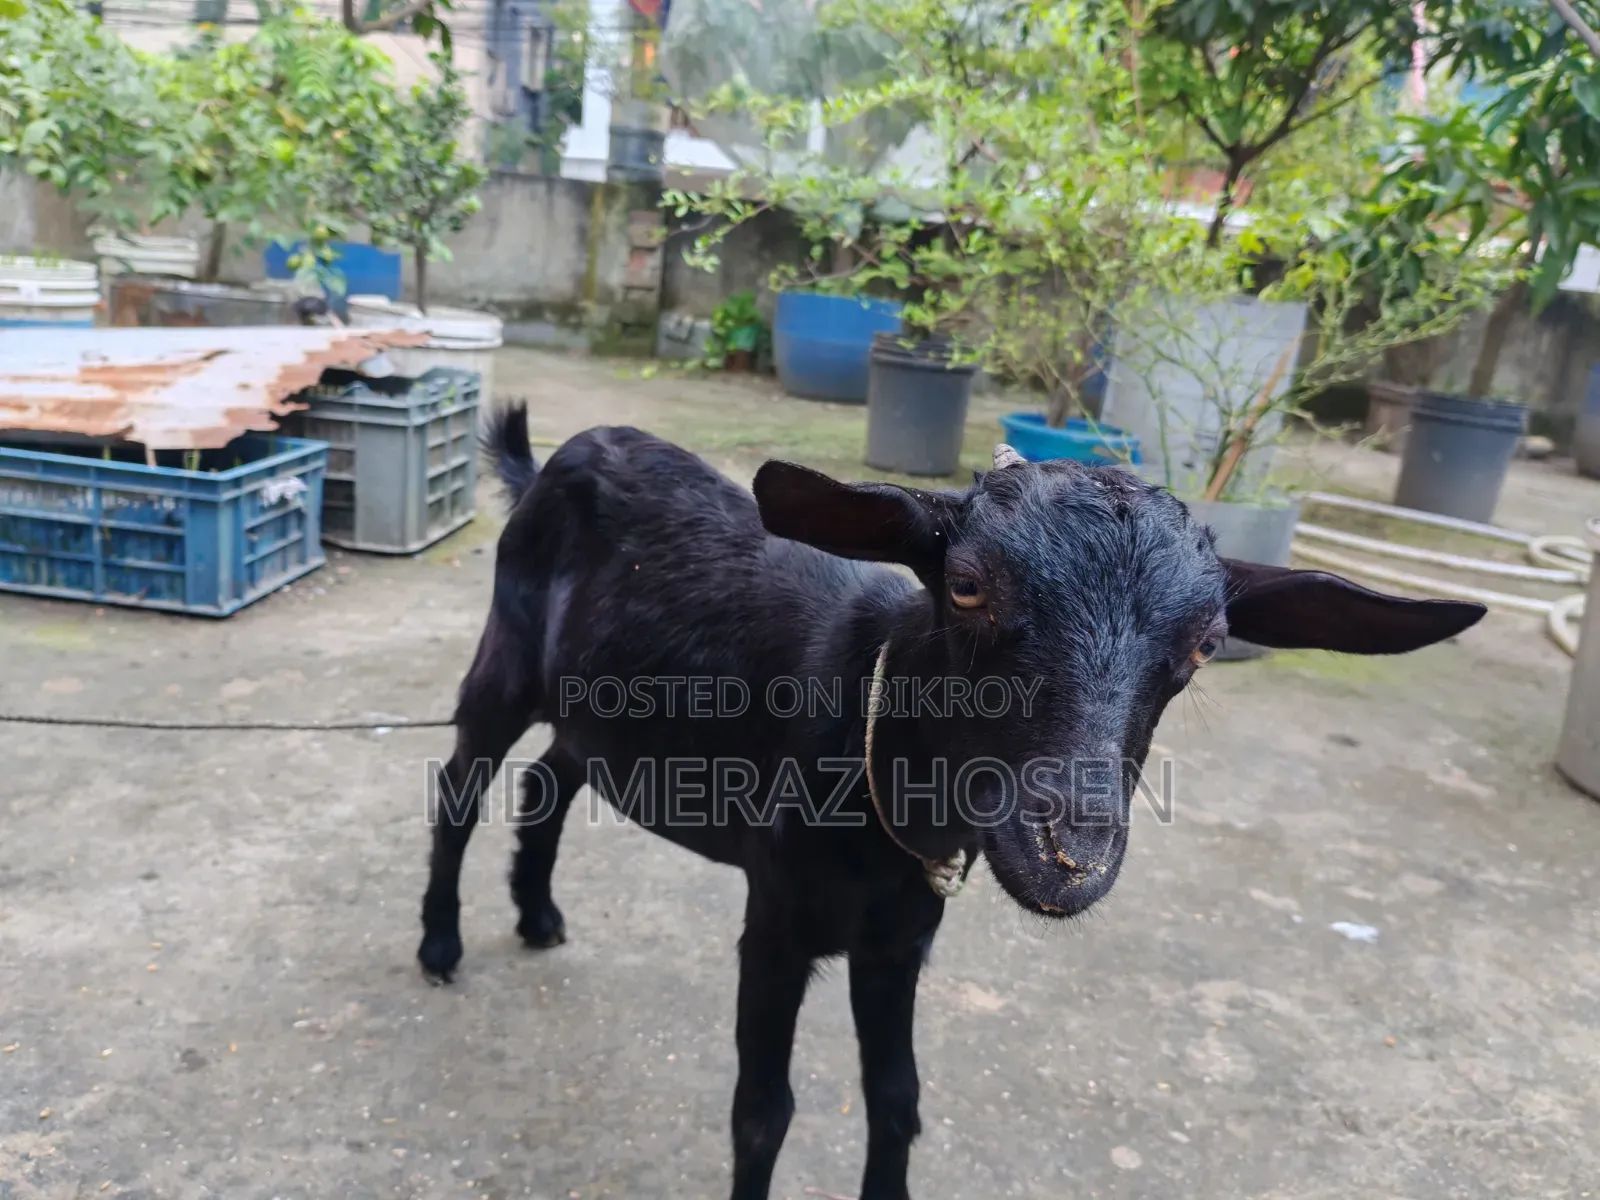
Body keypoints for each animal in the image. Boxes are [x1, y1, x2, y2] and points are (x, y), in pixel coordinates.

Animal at [419, 409, 1484, 1200]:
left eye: (1208, 642)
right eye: (966, 585)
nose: (1070, 858)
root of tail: (560, 454)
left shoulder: (901, 930)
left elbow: (898, 1099)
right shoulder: (779, 920)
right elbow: (763, 1113)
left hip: (597, 705)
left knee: (553, 777)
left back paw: (538, 911)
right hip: (505, 653)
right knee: (461, 785)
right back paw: (440, 942)